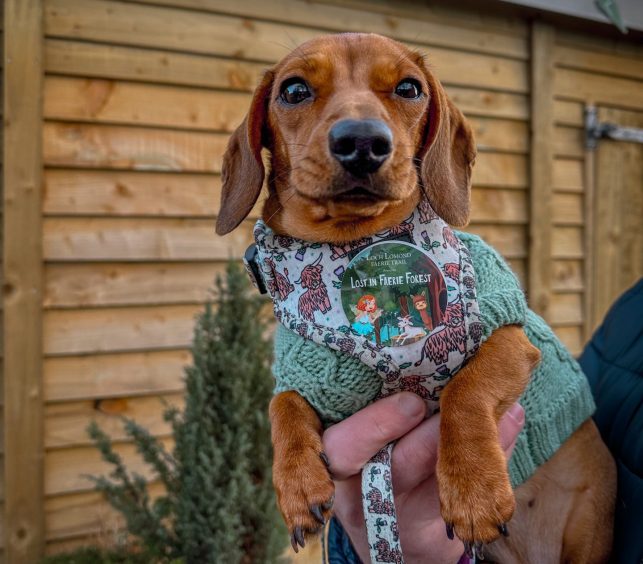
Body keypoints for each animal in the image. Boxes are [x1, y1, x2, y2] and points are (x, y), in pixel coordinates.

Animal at [214, 33, 616, 560]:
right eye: (294, 90)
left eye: (409, 87)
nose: (362, 142)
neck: (356, 246)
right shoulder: (313, 374)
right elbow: (281, 404)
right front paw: (298, 484)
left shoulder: (509, 333)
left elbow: (464, 391)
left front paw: (473, 492)